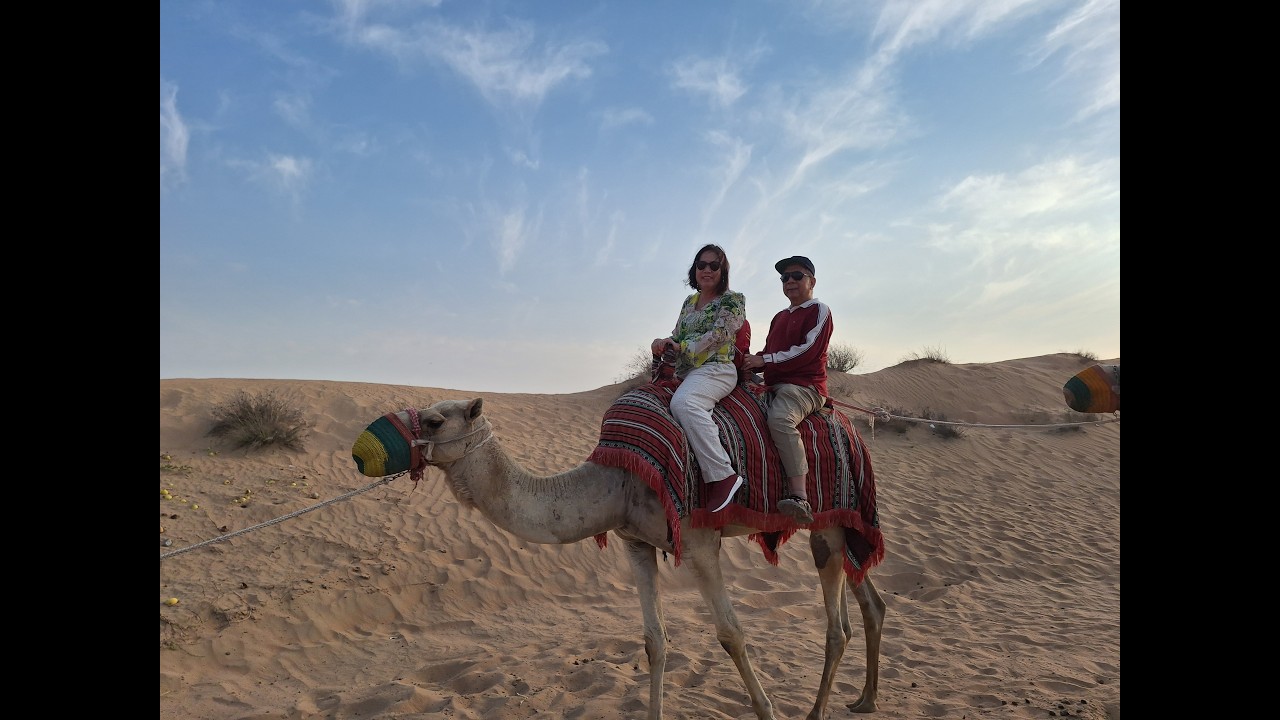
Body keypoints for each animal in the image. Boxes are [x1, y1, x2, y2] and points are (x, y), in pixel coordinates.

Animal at [352, 396, 886, 720]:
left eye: (435, 420)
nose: (361, 453)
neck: (615, 481)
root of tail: (852, 425)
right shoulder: (636, 543)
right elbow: (654, 641)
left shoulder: (698, 543)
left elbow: (731, 634)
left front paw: (767, 709)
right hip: (843, 523)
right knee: (868, 603)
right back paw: (864, 699)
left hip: (828, 522)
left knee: (836, 626)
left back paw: (818, 711)